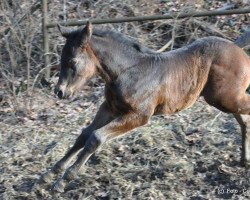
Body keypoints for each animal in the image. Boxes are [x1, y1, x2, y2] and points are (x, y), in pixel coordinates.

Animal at [38, 21, 250, 192]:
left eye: (73, 61)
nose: (60, 92)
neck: (128, 72)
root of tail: (238, 48)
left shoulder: (140, 116)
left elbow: (96, 137)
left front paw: (62, 182)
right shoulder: (110, 108)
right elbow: (84, 135)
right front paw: (47, 176)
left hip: (225, 98)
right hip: (228, 100)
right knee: (244, 122)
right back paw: (244, 160)